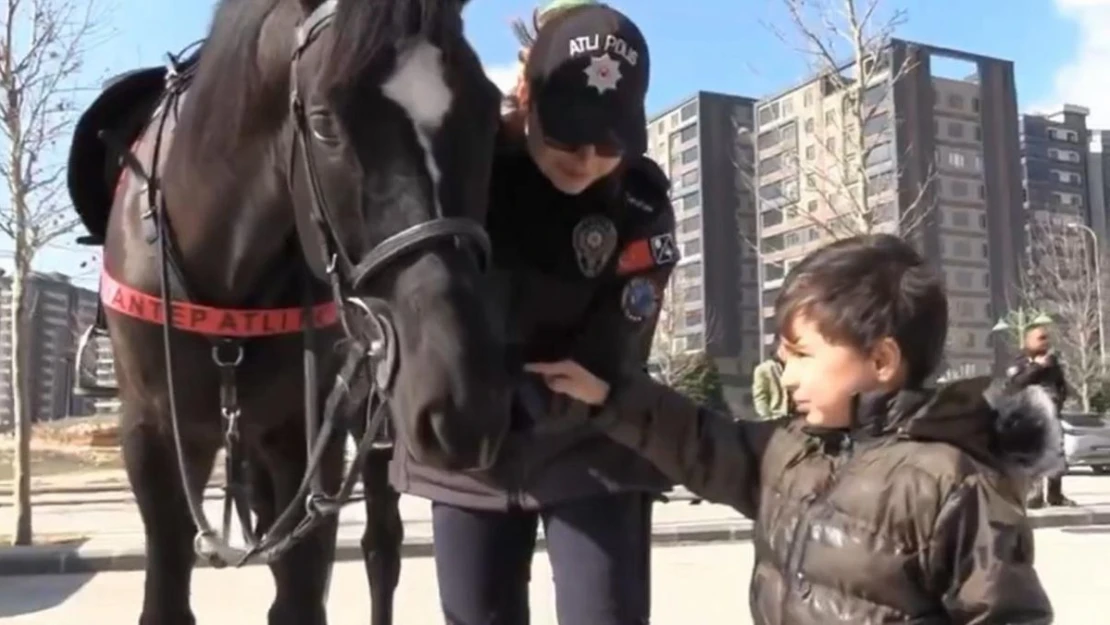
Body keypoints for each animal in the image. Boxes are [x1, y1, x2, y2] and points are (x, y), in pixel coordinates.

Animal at [71, 1, 512, 625]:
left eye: (488, 111)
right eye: (325, 122)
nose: (466, 404)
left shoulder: (306, 437)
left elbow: (301, 591)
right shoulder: (152, 432)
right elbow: (168, 590)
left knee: (381, 546)